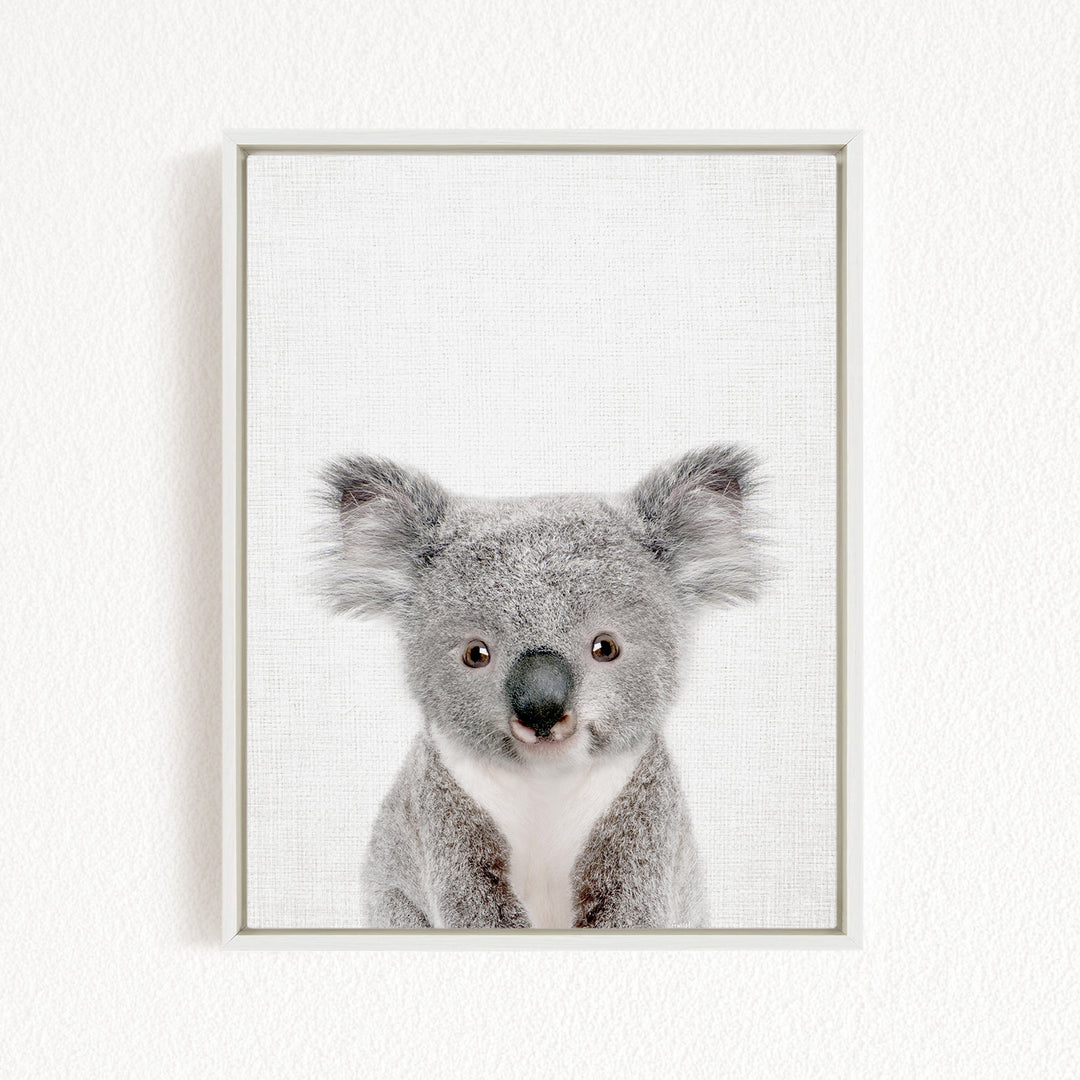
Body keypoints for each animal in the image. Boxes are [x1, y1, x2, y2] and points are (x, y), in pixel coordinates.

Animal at [319, 445, 763, 929]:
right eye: (476, 654)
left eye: (605, 648)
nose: (541, 710)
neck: (545, 782)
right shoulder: (442, 813)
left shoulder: (644, 814)